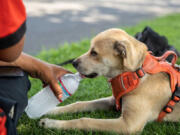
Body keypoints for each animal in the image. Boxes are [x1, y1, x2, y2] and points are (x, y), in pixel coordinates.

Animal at [38, 28, 179, 134]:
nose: (73, 63)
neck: (137, 74)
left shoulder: (129, 125)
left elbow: (85, 120)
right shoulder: (113, 101)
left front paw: (50, 123)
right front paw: (50, 110)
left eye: (94, 53)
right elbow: (79, 104)